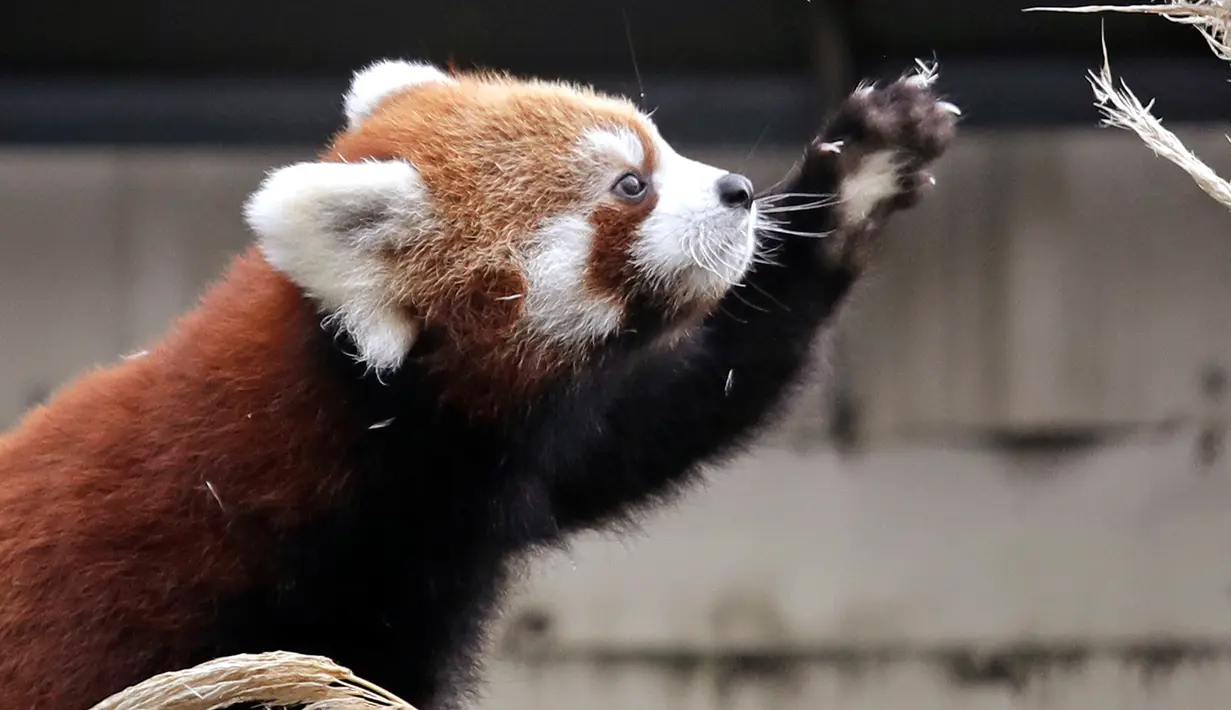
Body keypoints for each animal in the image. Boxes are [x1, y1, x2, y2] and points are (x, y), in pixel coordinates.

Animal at [0, 59, 957, 709]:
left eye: (659, 145)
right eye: (629, 184)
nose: (738, 190)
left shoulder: (530, 462)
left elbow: (660, 417)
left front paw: (854, 176)